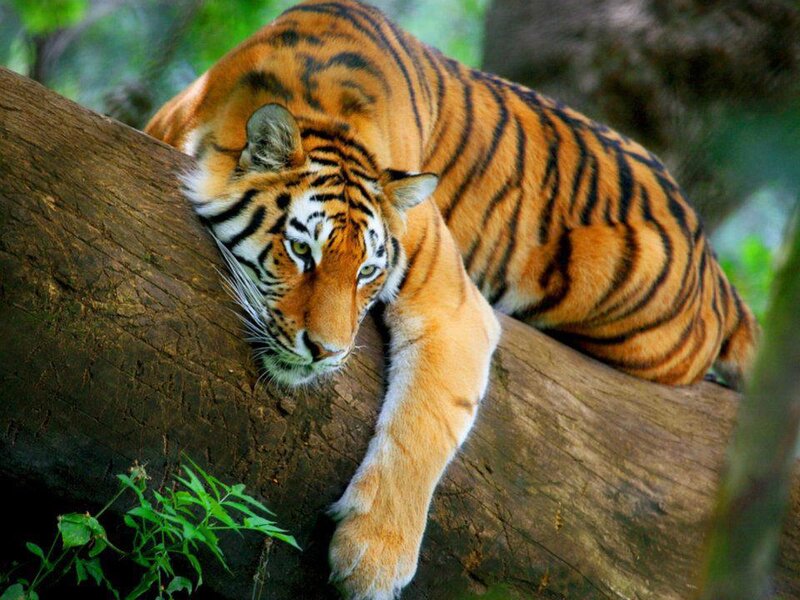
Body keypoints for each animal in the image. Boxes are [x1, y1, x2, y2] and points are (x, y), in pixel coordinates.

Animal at [145, 1, 759, 597]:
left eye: (367, 271)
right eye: (301, 251)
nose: (327, 352)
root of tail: (712, 262)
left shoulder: (454, 305)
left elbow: (424, 425)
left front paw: (373, 560)